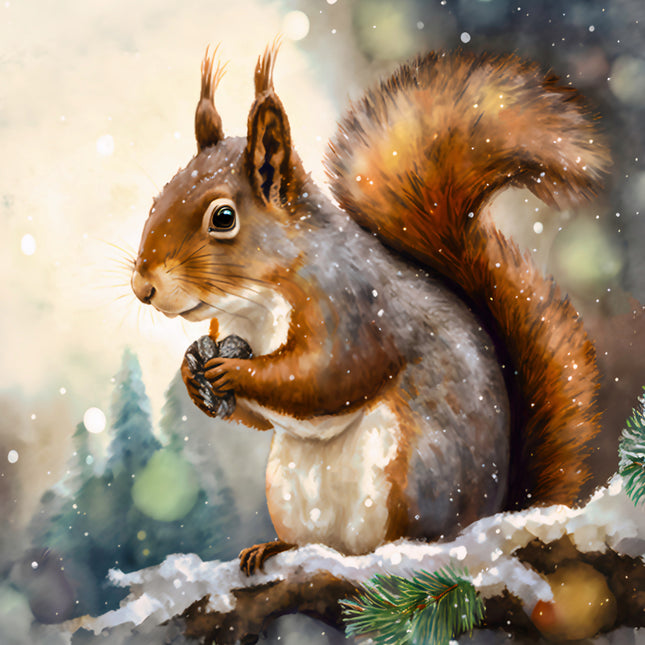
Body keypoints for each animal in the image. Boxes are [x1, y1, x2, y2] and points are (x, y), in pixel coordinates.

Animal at [131, 42, 610, 575]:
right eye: (156, 200)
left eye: (223, 218)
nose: (143, 286)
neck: (258, 301)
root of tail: (494, 511)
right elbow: (263, 415)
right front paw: (191, 370)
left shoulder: (355, 310)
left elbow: (325, 376)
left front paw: (235, 371)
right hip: (288, 486)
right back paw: (278, 548)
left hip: (409, 473)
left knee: (400, 537)